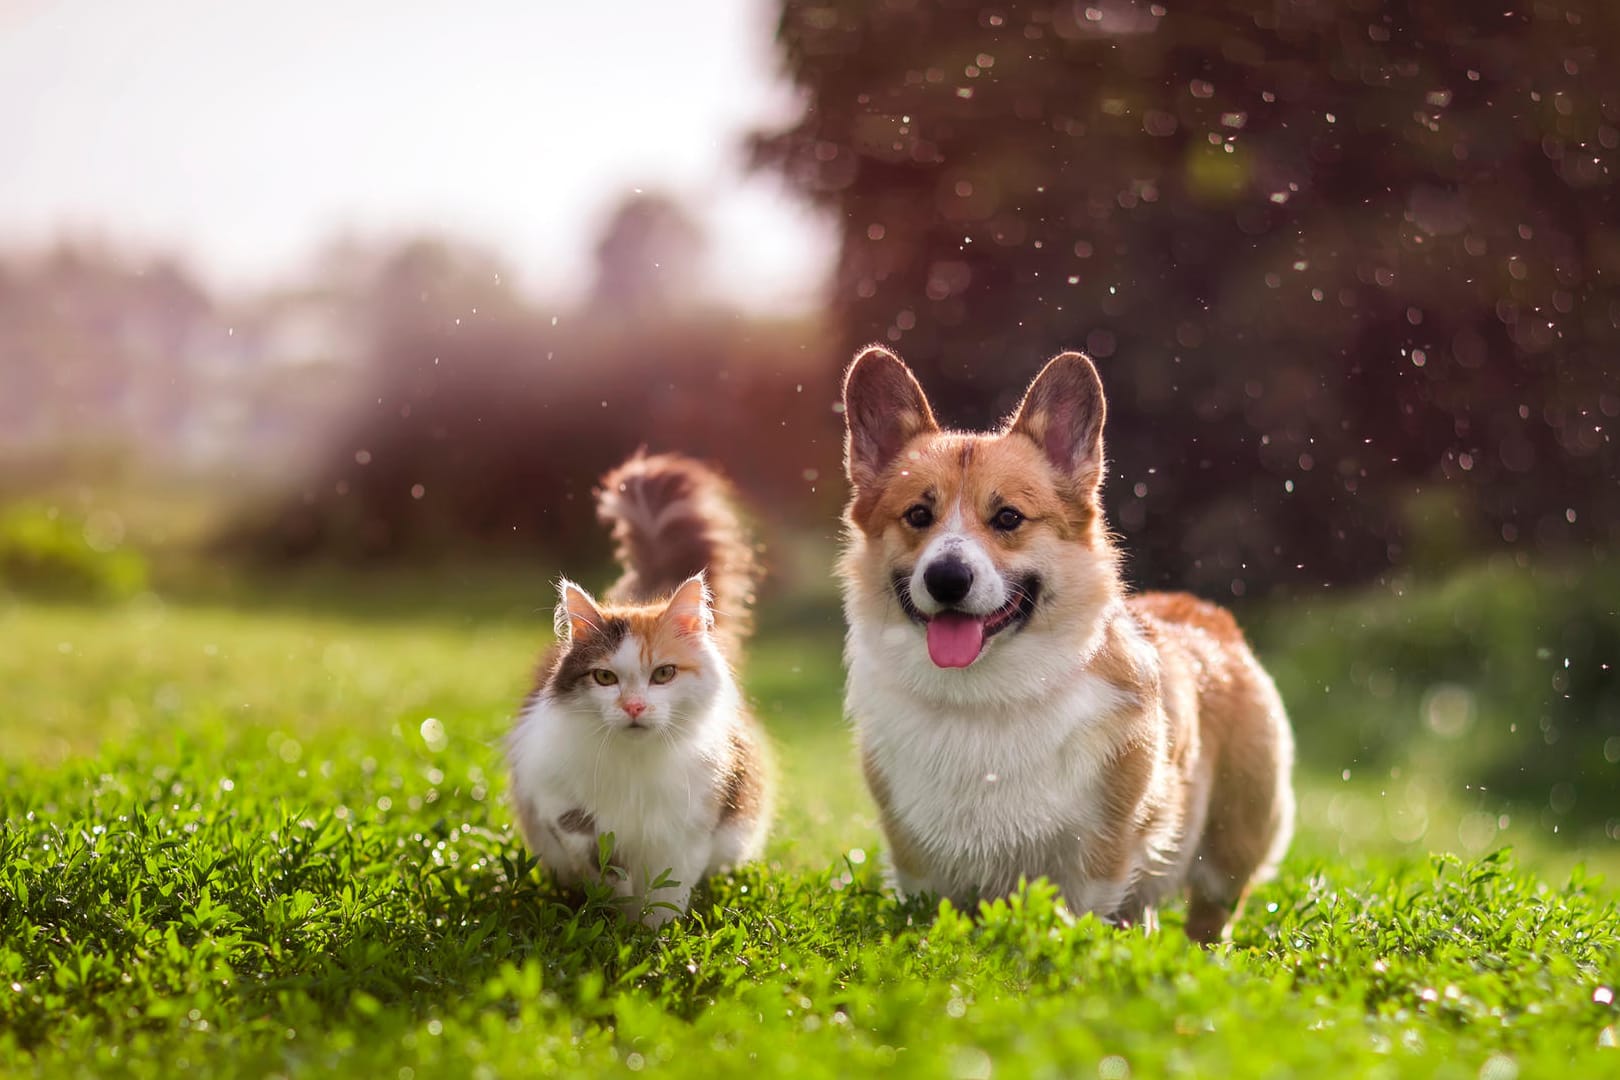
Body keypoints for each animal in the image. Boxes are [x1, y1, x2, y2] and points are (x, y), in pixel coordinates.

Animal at [508, 453, 774, 926]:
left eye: (663, 674)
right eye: (605, 678)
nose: (633, 706)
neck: (635, 765)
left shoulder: (690, 826)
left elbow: (666, 893)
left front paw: (652, 936)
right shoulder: (551, 793)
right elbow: (595, 851)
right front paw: (614, 912)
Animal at [842, 348, 1296, 945]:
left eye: (1008, 517)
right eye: (918, 515)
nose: (946, 579)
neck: (983, 697)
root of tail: (1205, 614)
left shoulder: (1098, 858)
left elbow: (1080, 913)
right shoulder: (918, 862)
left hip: (1230, 848)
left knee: (1210, 915)